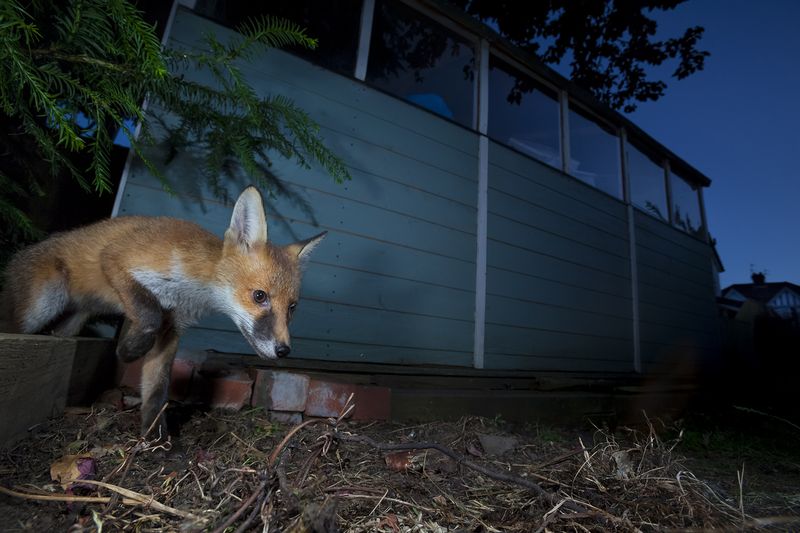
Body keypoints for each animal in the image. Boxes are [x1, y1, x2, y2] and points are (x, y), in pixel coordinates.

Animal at [1, 187, 325, 439]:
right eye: (260, 296)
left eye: (292, 307)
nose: (283, 350)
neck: (192, 286)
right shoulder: (117, 260)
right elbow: (148, 315)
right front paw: (128, 350)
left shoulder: (172, 328)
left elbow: (157, 389)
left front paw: (155, 440)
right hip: (40, 308)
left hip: (70, 323)